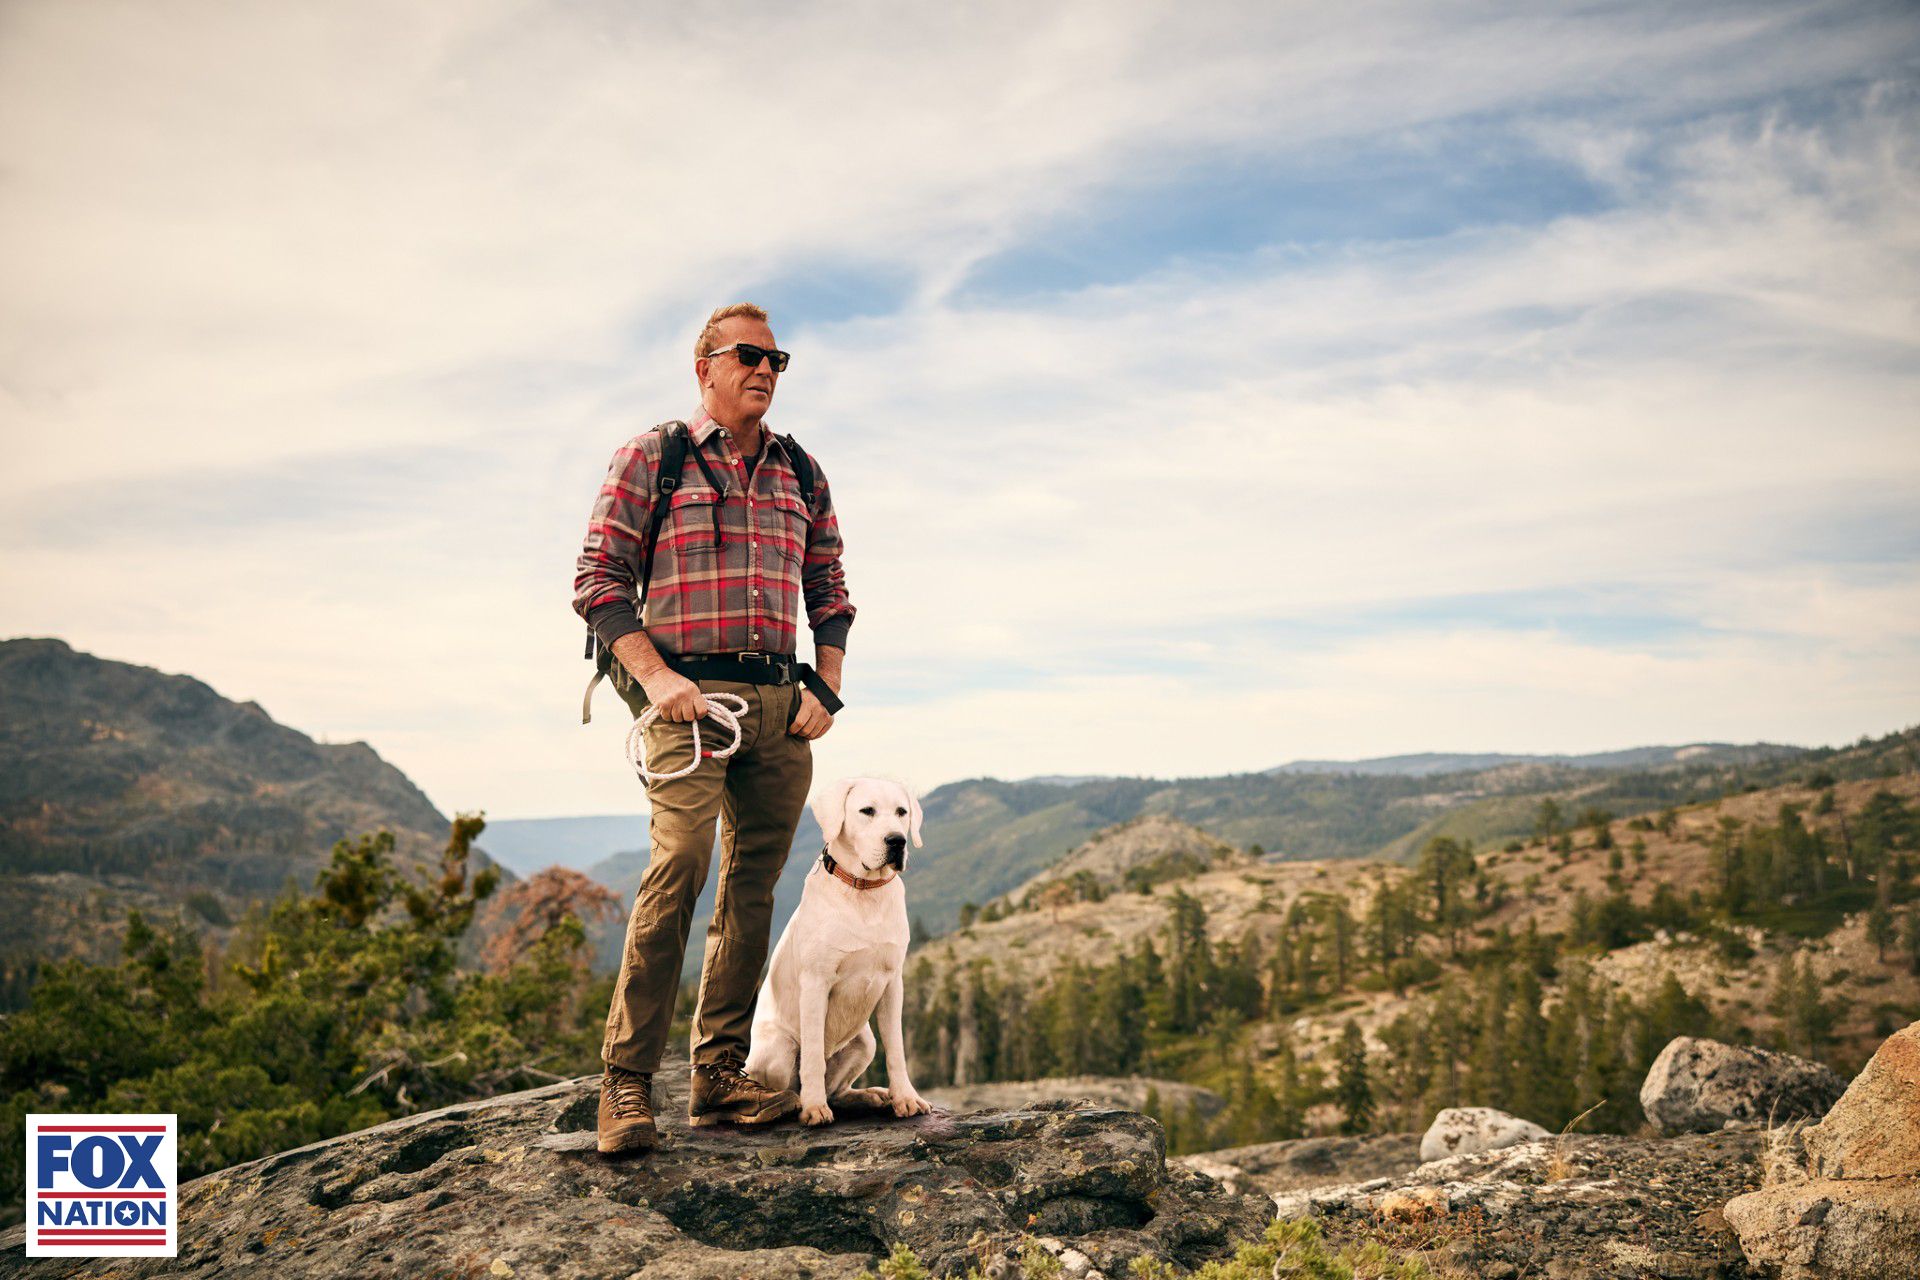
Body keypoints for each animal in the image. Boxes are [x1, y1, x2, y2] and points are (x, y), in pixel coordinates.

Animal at [744, 775, 933, 1128]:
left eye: (901, 812)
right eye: (867, 811)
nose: (897, 841)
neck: (864, 891)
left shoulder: (892, 983)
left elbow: (897, 1051)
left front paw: (905, 1098)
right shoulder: (816, 983)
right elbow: (813, 1058)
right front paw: (814, 1107)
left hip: (865, 1041)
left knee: (839, 1090)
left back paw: (871, 1095)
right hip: (780, 1048)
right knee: (793, 1082)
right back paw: (793, 1102)